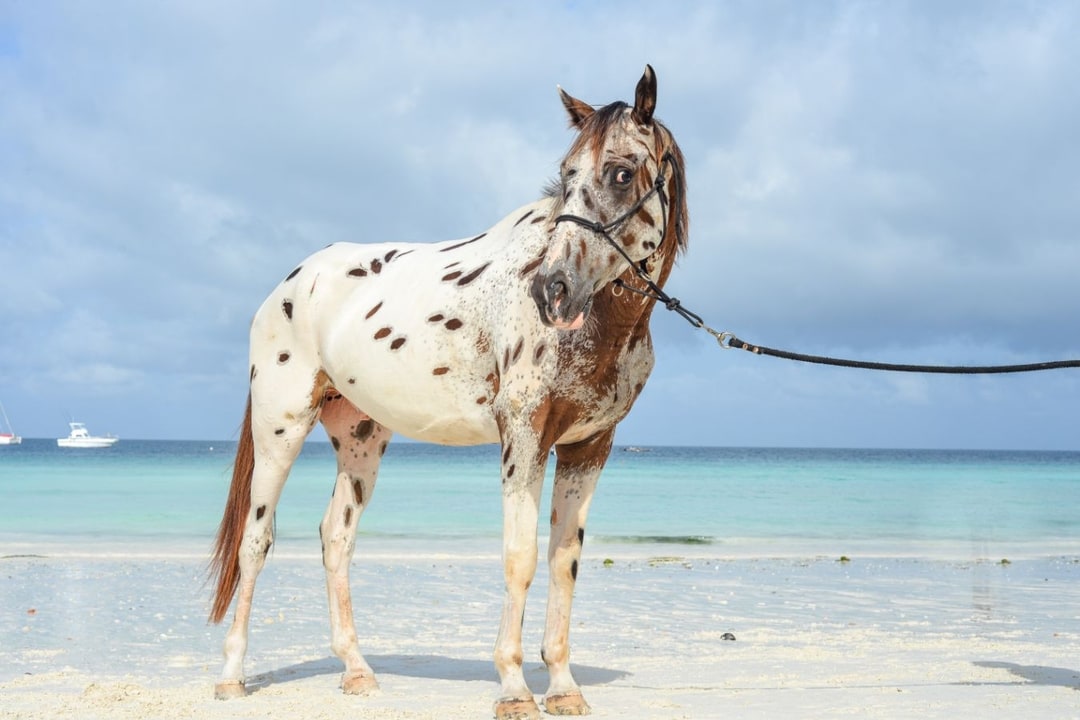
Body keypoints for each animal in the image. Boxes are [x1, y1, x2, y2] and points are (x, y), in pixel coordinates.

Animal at [209, 64, 689, 719]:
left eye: (620, 172)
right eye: (567, 174)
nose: (552, 290)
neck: (598, 324)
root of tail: (289, 283)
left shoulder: (589, 448)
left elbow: (564, 562)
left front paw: (563, 686)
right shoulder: (524, 439)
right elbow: (520, 558)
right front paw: (513, 688)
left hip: (359, 437)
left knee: (337, 538)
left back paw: (356, 670)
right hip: (279, 426)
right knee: (255, 541)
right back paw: (232, 676)